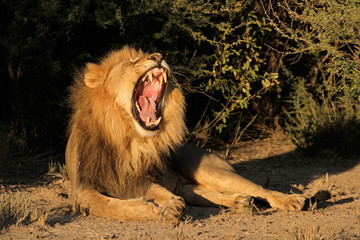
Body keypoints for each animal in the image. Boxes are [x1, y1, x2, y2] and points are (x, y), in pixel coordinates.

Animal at [66, 45, 306, 223]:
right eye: (131, 62)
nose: (158, 56)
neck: (127, 138)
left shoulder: (140, 179)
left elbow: (163, 195)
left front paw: (169, 208)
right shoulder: (82, 188)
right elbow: (107, 206)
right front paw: (153, 209)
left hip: (212, 172)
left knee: (260, 188)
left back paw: (291, 200)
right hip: (192, 187)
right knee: (202, 194)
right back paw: (241, 202)